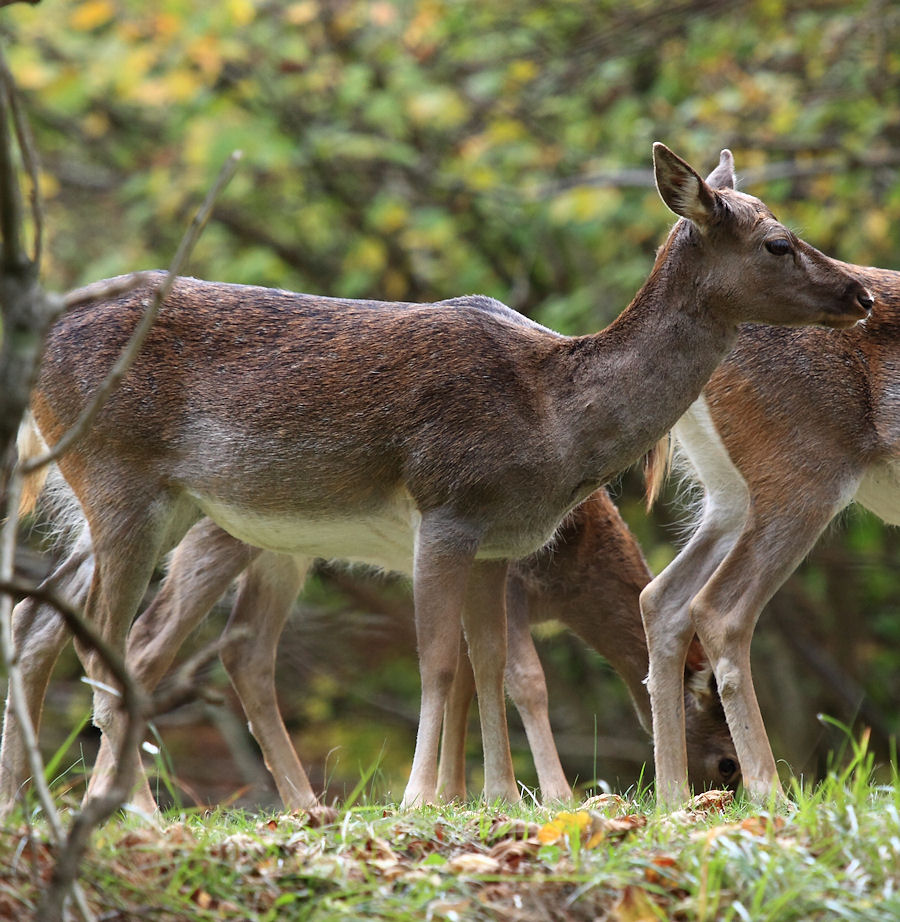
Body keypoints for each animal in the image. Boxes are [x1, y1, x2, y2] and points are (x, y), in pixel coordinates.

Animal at [3, 486, 740, 808]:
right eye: (728, 760)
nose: (721, 790)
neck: (573, 575)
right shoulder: (509, 580)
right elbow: (524, 678)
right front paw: (555, 797)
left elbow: (467, 679)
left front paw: (454, 794)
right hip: (222, 534)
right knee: (146, 641)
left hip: (273, 549)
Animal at [640, 255, 900, 800]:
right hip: (804, 468)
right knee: (720, 611)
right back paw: (770, 793)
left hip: (730, 491)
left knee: (662, 599)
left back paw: (673, 796)